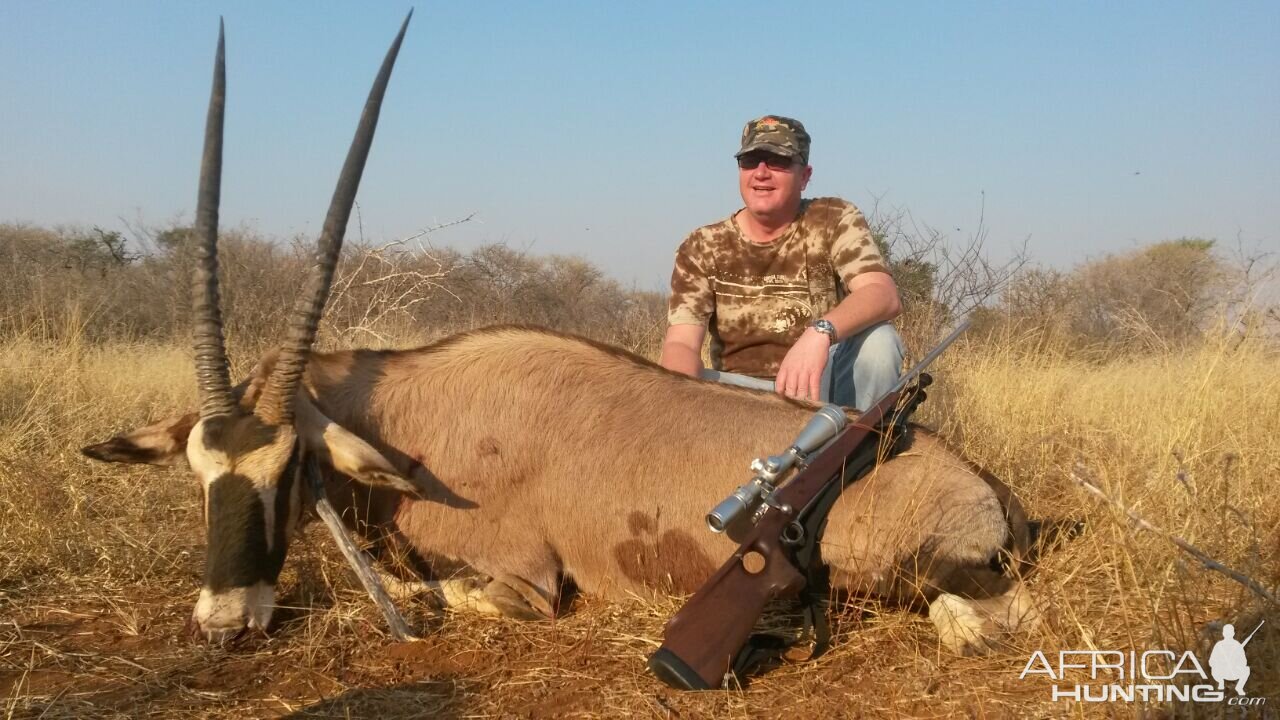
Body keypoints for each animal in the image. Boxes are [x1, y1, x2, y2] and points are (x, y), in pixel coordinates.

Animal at [80, 16, 1039, 655]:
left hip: (923, 572)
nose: (224, 624)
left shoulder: (521, 581)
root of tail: (980, 480)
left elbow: (436, 594)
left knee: (985, 618)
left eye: (287, 472)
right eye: (201, 473)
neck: (413, 416)